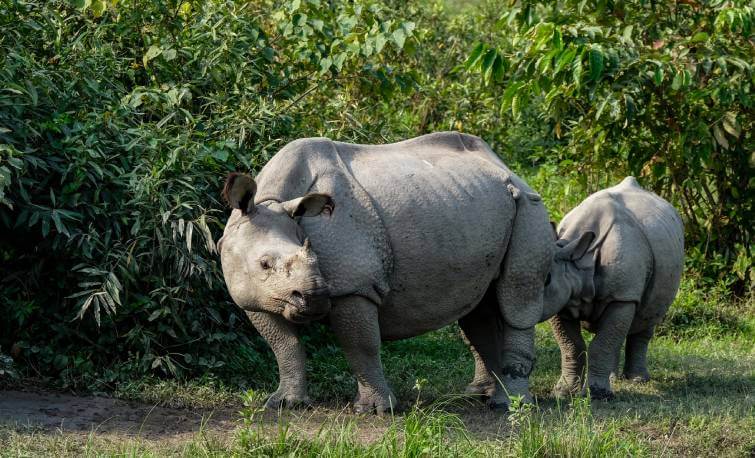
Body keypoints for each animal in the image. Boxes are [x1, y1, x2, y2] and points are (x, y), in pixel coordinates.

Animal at [219, 131, 556, 412]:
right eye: (264, 264)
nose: (315, 297)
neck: (272, 200)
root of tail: (510, 169)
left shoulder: (354, 285)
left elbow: (361, 345)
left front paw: (377, 410)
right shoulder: (254, 296)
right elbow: (284, 346)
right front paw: (285, 403)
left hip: (529, 207)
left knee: (517, 299)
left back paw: (510, 406)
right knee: (479, 308)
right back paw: (480, 394)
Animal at [540, 177, 684, 398]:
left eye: (547, 280)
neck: (580, 262)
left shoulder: (623, 295)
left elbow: (601, 343)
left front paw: (598, 394)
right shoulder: (562, 299)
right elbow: (571, 345)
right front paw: (563, 393)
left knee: (647, 316)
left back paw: (637, 380)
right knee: (615, 332)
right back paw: (613, 378)